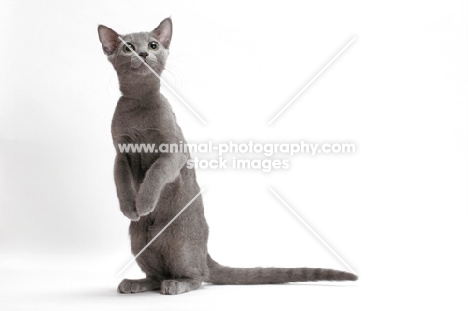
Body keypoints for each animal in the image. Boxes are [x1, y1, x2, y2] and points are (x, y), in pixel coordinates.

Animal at [97, 18, 356, 296]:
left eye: (153, 45)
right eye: (128, 48)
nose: (144, 53)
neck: (139, 104)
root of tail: (205, 252)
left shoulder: (174, 152)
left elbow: (156, 172)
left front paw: (144, 202)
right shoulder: (120, 154)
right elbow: (121, 181)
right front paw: (129, 207)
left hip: (180, 240)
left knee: (197, 276)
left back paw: (176, 284)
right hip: (138, 239)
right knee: (156, 275)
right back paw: (135, 283)